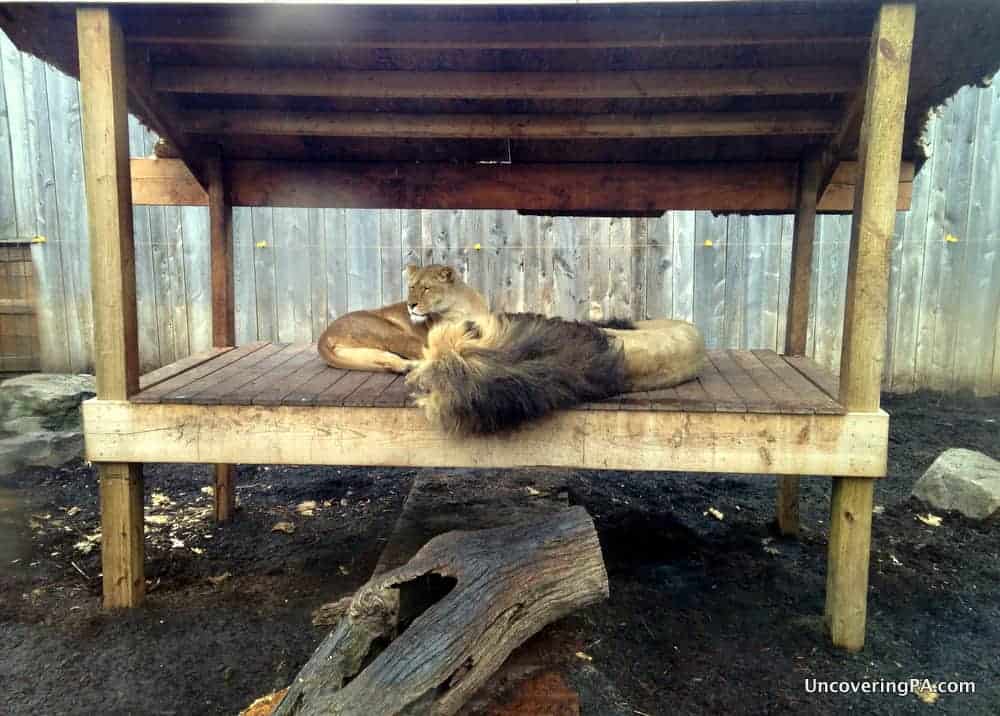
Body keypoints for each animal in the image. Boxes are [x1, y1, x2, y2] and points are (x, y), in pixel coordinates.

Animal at [316, 264, 488, 374]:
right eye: (411, 287)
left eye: (426, 288)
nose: (410, 305)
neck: (458, 309)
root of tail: (324, 335)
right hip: (391, 333)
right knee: (428, 354)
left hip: (358, 352)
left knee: (388, 360)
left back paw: (407, 366)